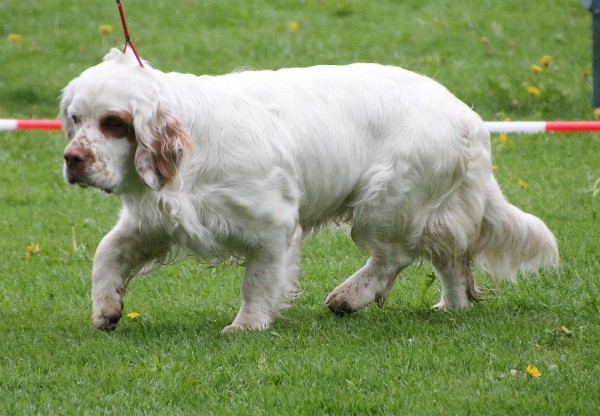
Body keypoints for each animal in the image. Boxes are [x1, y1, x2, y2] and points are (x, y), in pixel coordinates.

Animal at [59, 48, 556, 334]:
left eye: (113, 122)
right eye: (75, 118)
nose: (72, 159)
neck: (190, 146)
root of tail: (467, 118)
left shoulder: (272, 224)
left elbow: (258, 282)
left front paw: (246, 326)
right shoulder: (155, 221)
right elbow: (107, 252)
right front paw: (106, 309)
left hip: (383, 203)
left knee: (393, 256)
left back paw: (348, 297)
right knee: (449, 257)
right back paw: (451, 308)